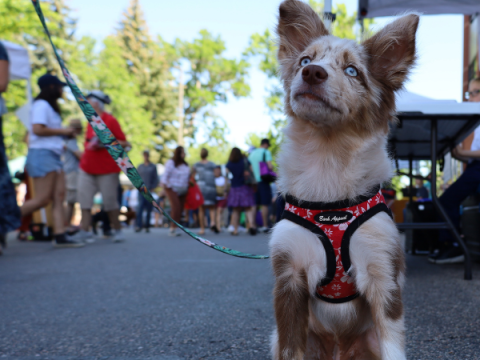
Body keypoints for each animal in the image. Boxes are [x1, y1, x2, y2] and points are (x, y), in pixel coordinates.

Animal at [268, 1, 418, 358]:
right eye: (305, 60)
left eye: (352, 71)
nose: (312, 72)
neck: (329, 161)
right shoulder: (288, 278)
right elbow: (290, 349)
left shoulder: (383, 275)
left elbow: (394, 347)